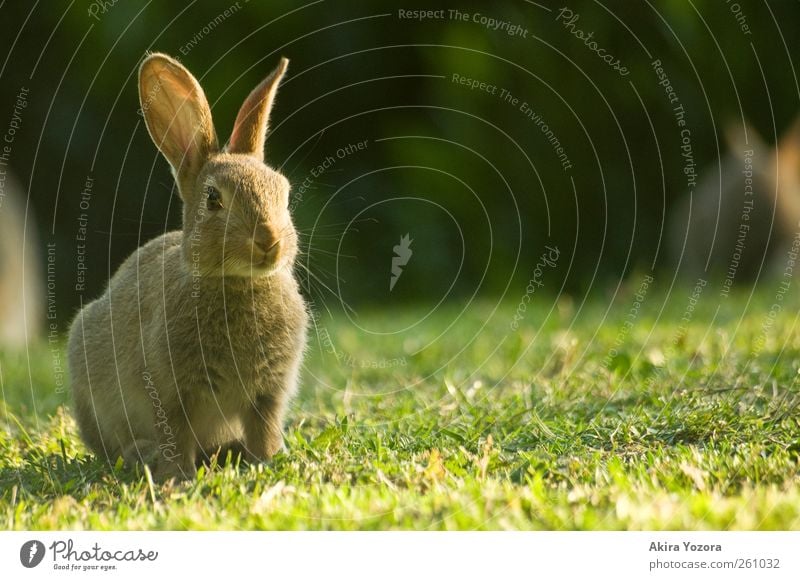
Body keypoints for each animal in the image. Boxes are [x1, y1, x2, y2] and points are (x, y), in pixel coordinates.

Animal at [67, 54, 310, 480]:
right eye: (213, 199)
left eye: (284, 192)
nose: (269, 241)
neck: (235, 281)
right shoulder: (172, 391)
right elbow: (176, 434)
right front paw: (178, 478)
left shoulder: (268, 393)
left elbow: (264, 429)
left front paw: (267, 461)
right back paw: (140, 454)